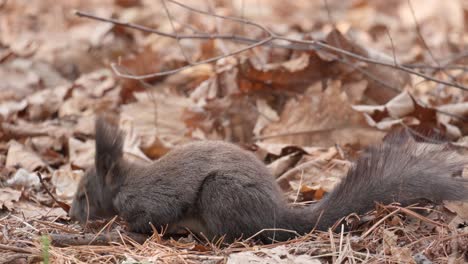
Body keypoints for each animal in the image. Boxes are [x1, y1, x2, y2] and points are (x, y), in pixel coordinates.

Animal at [69, 117, 468, 243]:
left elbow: (155, 215)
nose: (71, 217)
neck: (123, 183)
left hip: (221, 193)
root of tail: (279, 216)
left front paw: (124, 228)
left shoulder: (151, 199)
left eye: (83, 195)